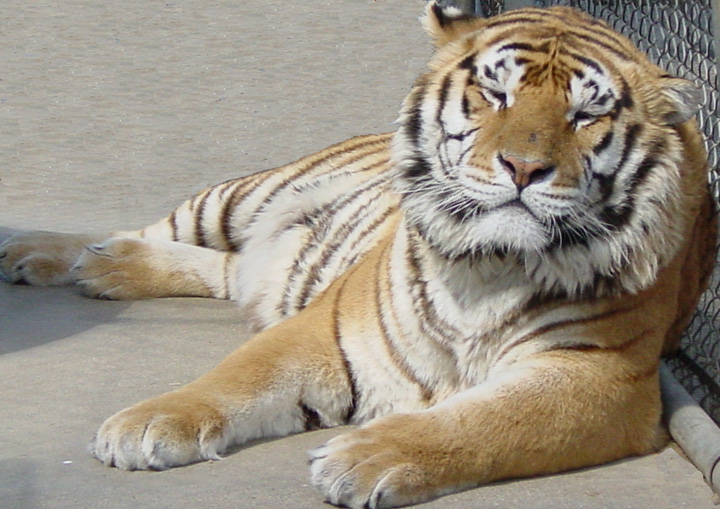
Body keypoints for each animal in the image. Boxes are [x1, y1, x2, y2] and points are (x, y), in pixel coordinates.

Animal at [0, 2, 716, 508]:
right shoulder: (330, 325)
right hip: (239, 196)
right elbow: (238, 377)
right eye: (496, 95)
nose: (522, 167)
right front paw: (147, 423)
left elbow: (490, 422)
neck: (490, 266)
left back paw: (105, 267)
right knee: (163, 229)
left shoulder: (598, 376)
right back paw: (48, 253)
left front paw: (363, 458)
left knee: (228, 270)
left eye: (585, 116)